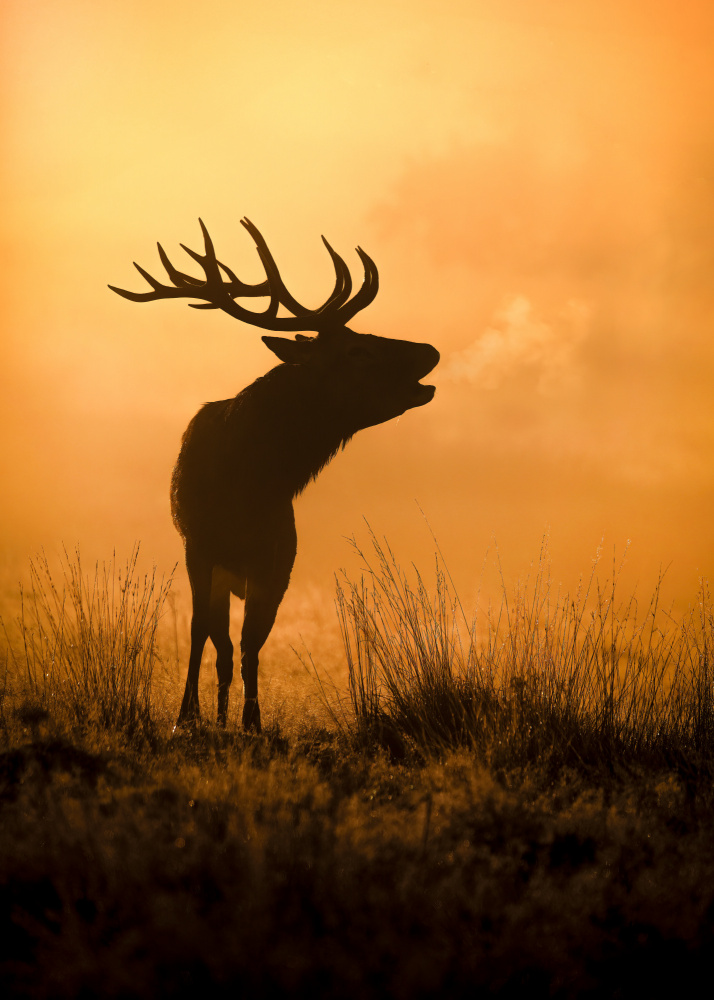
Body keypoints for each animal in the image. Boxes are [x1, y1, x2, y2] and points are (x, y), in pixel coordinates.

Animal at [109, 218, 439, 733]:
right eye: (356, 349)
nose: (429, 350)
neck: (249, 483)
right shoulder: (199, 549)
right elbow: (204, 632)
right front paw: (187, 715)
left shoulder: (277, 560)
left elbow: (251, 643)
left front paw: (252, 720)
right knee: (217, 640)